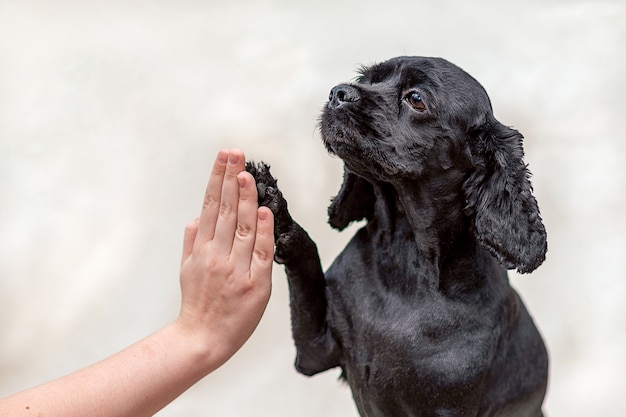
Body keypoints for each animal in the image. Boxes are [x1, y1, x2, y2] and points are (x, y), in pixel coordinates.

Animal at [246, 56, 544, 416]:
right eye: (366, 79)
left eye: (416, 98)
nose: (337, 93)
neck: (406, 257)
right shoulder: (314, 350)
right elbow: (306, 258)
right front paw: (271, 204)